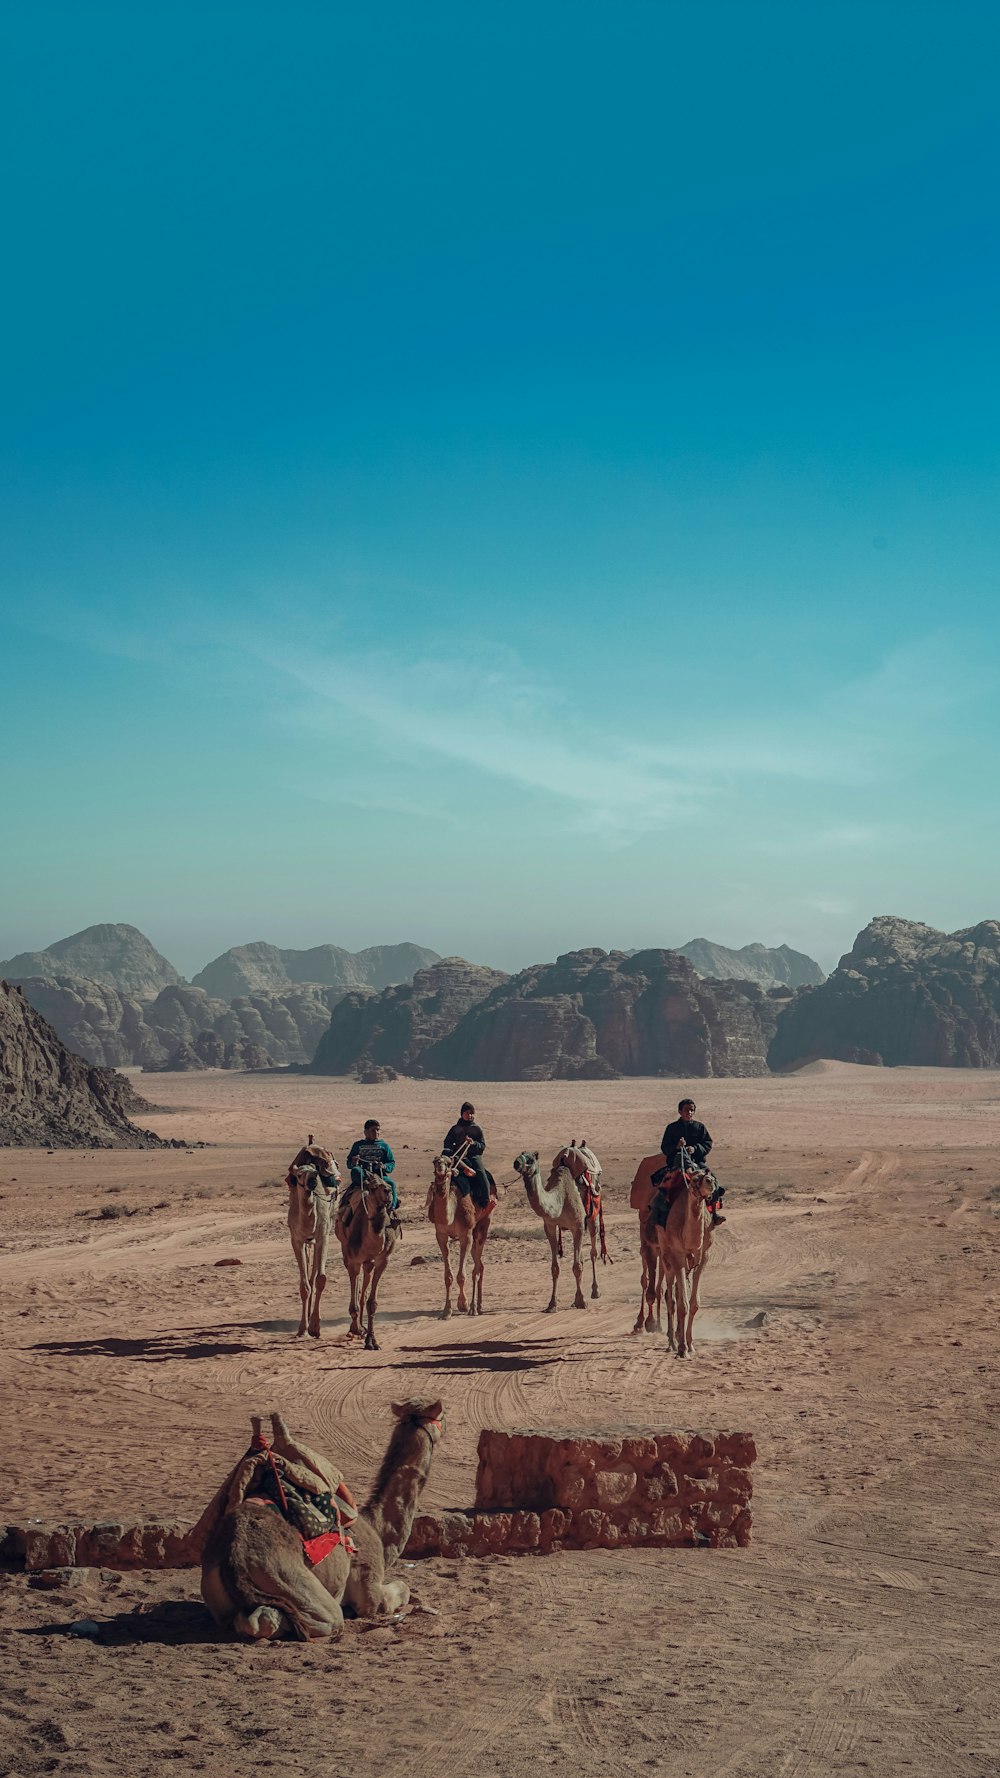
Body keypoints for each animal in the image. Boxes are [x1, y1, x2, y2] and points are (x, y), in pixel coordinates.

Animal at [193, 1401, 439, 1635]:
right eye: (440, 1418)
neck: (376, 1529)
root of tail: (233, 1555)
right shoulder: (371, 1591)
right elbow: (401, 1590)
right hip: (289, 1578)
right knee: (294, 1618)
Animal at [334, 1166, 396, 1344]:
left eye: (386, 1184)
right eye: (373, 1187)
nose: (388, 1192)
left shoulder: (382, 1260)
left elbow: (371, 1302)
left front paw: (371, 1340)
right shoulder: (354, 1261)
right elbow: (354, 1302)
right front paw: (356, 1329)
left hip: (368, 1263)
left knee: (364, 1289)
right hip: (347, 1253)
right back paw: (357, 1328)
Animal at [423, 1145, 494, 1315]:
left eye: (448, 1163)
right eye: (434, 1161)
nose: (440, 1167)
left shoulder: (465, 1234)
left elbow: (462, 1275)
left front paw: (463, 1304)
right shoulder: (440, 1234)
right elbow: (447, 1276)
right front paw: (446, 1310)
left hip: (484, 1222)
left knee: (477, 1267)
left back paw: (474, 1308)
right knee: (480, 1265)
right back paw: (480, 1305)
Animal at [512, 1137, 597, 1308]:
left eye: (531, 1160)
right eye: (520, 1155)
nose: (516, 1163)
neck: (560, 1201)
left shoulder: (578, 1226)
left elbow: (576, 1266)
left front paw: (581, 1301)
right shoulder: (549, 1226)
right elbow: (555, 1268)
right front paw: (552, 1304)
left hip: (592, 1215)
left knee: (592, 1252)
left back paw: (595, 1291)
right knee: (582, 1257)